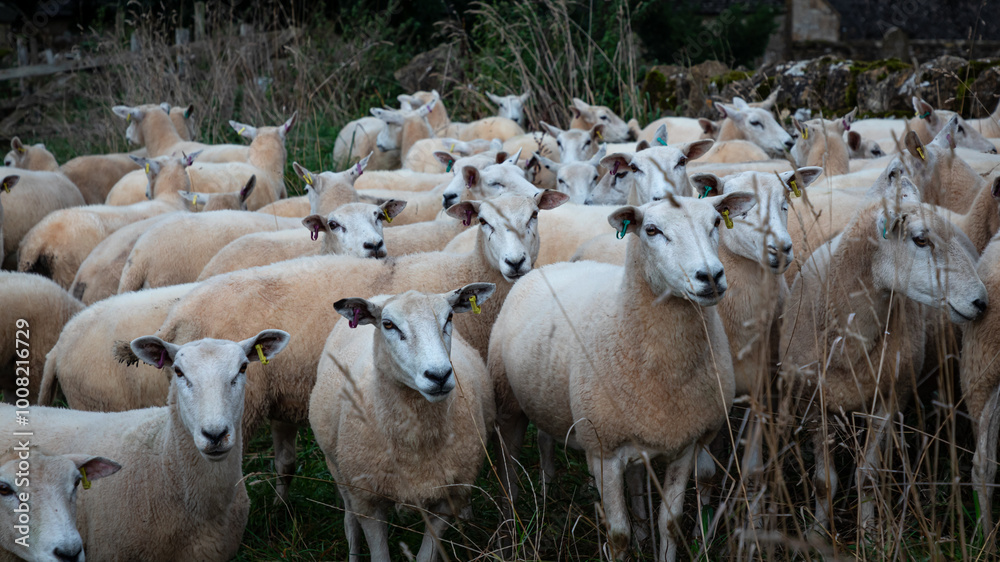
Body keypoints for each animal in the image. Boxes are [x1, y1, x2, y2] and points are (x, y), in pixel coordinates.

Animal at [309, 284, 497, 562]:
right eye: (388, 324)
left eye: (449, 317)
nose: (439, 375)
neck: (415, 446)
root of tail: (381, 295)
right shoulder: (368, 500)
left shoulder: (447, 498)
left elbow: (426, 556)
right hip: (338, 469)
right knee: (350, 523)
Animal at [489, 192, 757, 561]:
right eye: (652, 230)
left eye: (717, 222)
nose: (711, 276)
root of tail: (547, 267)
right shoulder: (604, 451)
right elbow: (618, 535)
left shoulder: (684, 445)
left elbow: (670, 523)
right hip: (509, 405)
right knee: (509, 469)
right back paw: (510, 529)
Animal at [780, 198, 987, 535]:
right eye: (920, 239)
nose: (982, 303)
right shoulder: (812, 402)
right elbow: (824, 482)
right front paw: (818, 532)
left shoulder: (889, 398)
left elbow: (867, 476)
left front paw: (868, 534)